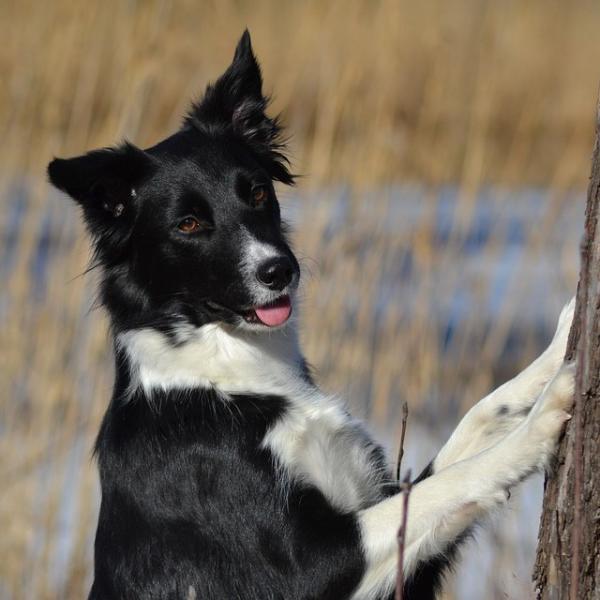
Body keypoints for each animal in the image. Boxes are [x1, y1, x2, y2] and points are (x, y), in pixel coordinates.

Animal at [48, 31, 576, 600]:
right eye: (188, 223)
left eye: (257, 191)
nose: (279, 270)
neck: (228, 372)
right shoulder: (304, 571)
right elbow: (451, 483)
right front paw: (541, 423)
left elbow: (474, 424)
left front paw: (558, 348)